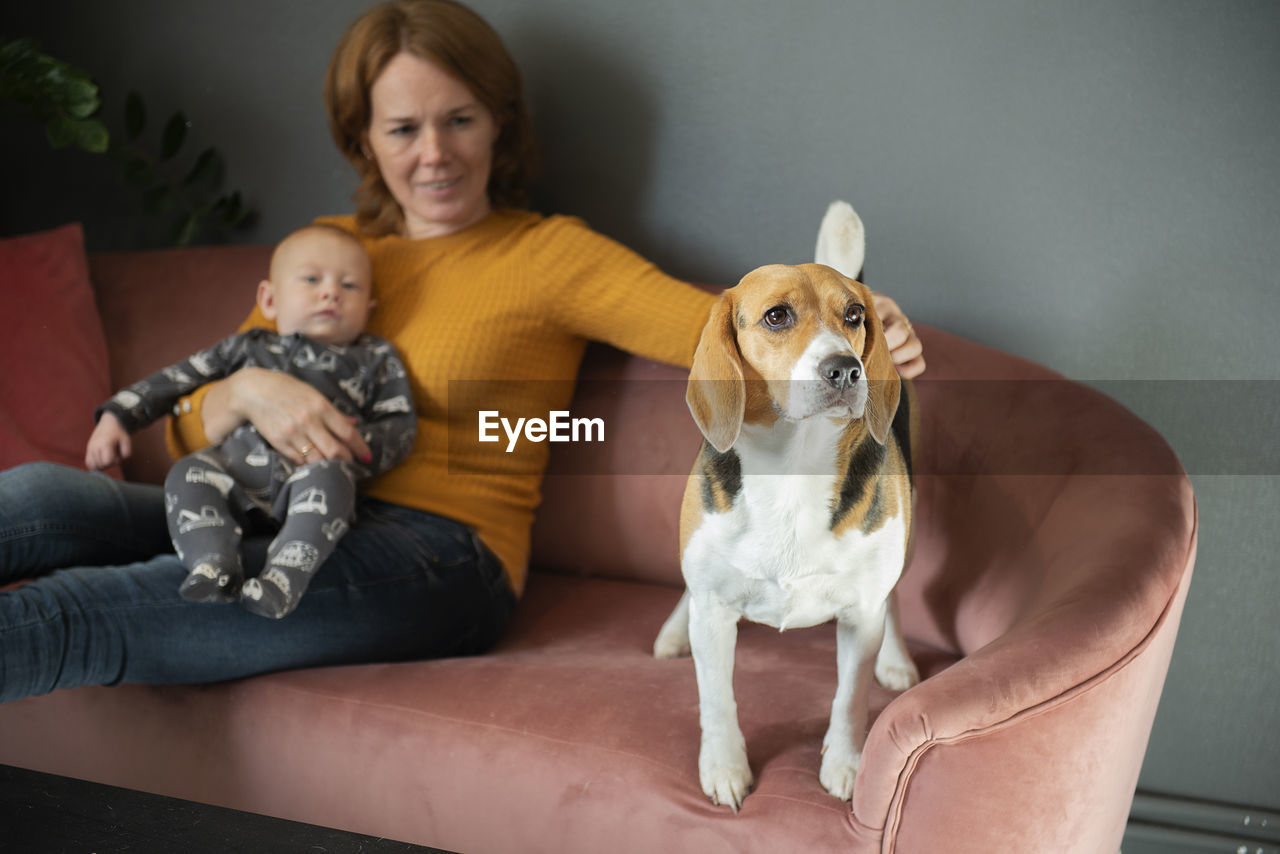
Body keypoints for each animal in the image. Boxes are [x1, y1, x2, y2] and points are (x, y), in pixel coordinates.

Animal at [655, 203, 916, 814]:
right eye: (776, 316)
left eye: (853, 316)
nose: (846, 368)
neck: (793, 470)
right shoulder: (715, 610)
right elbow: (716, 697)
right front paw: (724, 768)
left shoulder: (860, 615)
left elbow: (849, 697)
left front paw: (844, 765)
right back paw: (674, 630)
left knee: (895, 596)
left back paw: (897, 660)